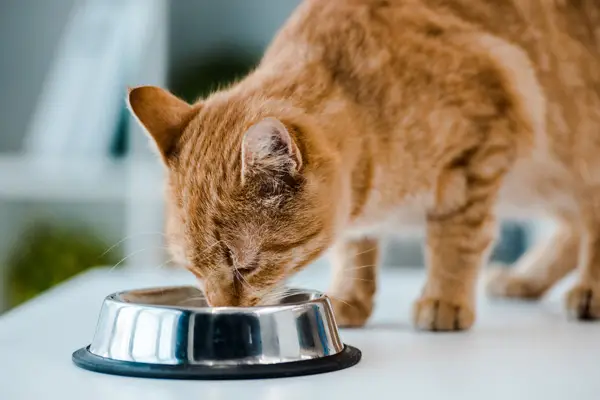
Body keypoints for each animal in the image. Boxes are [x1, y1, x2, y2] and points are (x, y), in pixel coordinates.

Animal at [127, 0, 600, 332]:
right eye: (192, 270)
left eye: (245, 267)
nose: (222, 310)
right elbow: (354, 247)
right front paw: (350, 296)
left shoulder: (479, 151)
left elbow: (455, 240)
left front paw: (444, 298)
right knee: (573, 225)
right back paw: (526, 279)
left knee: (589, 220)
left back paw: (588, 291)